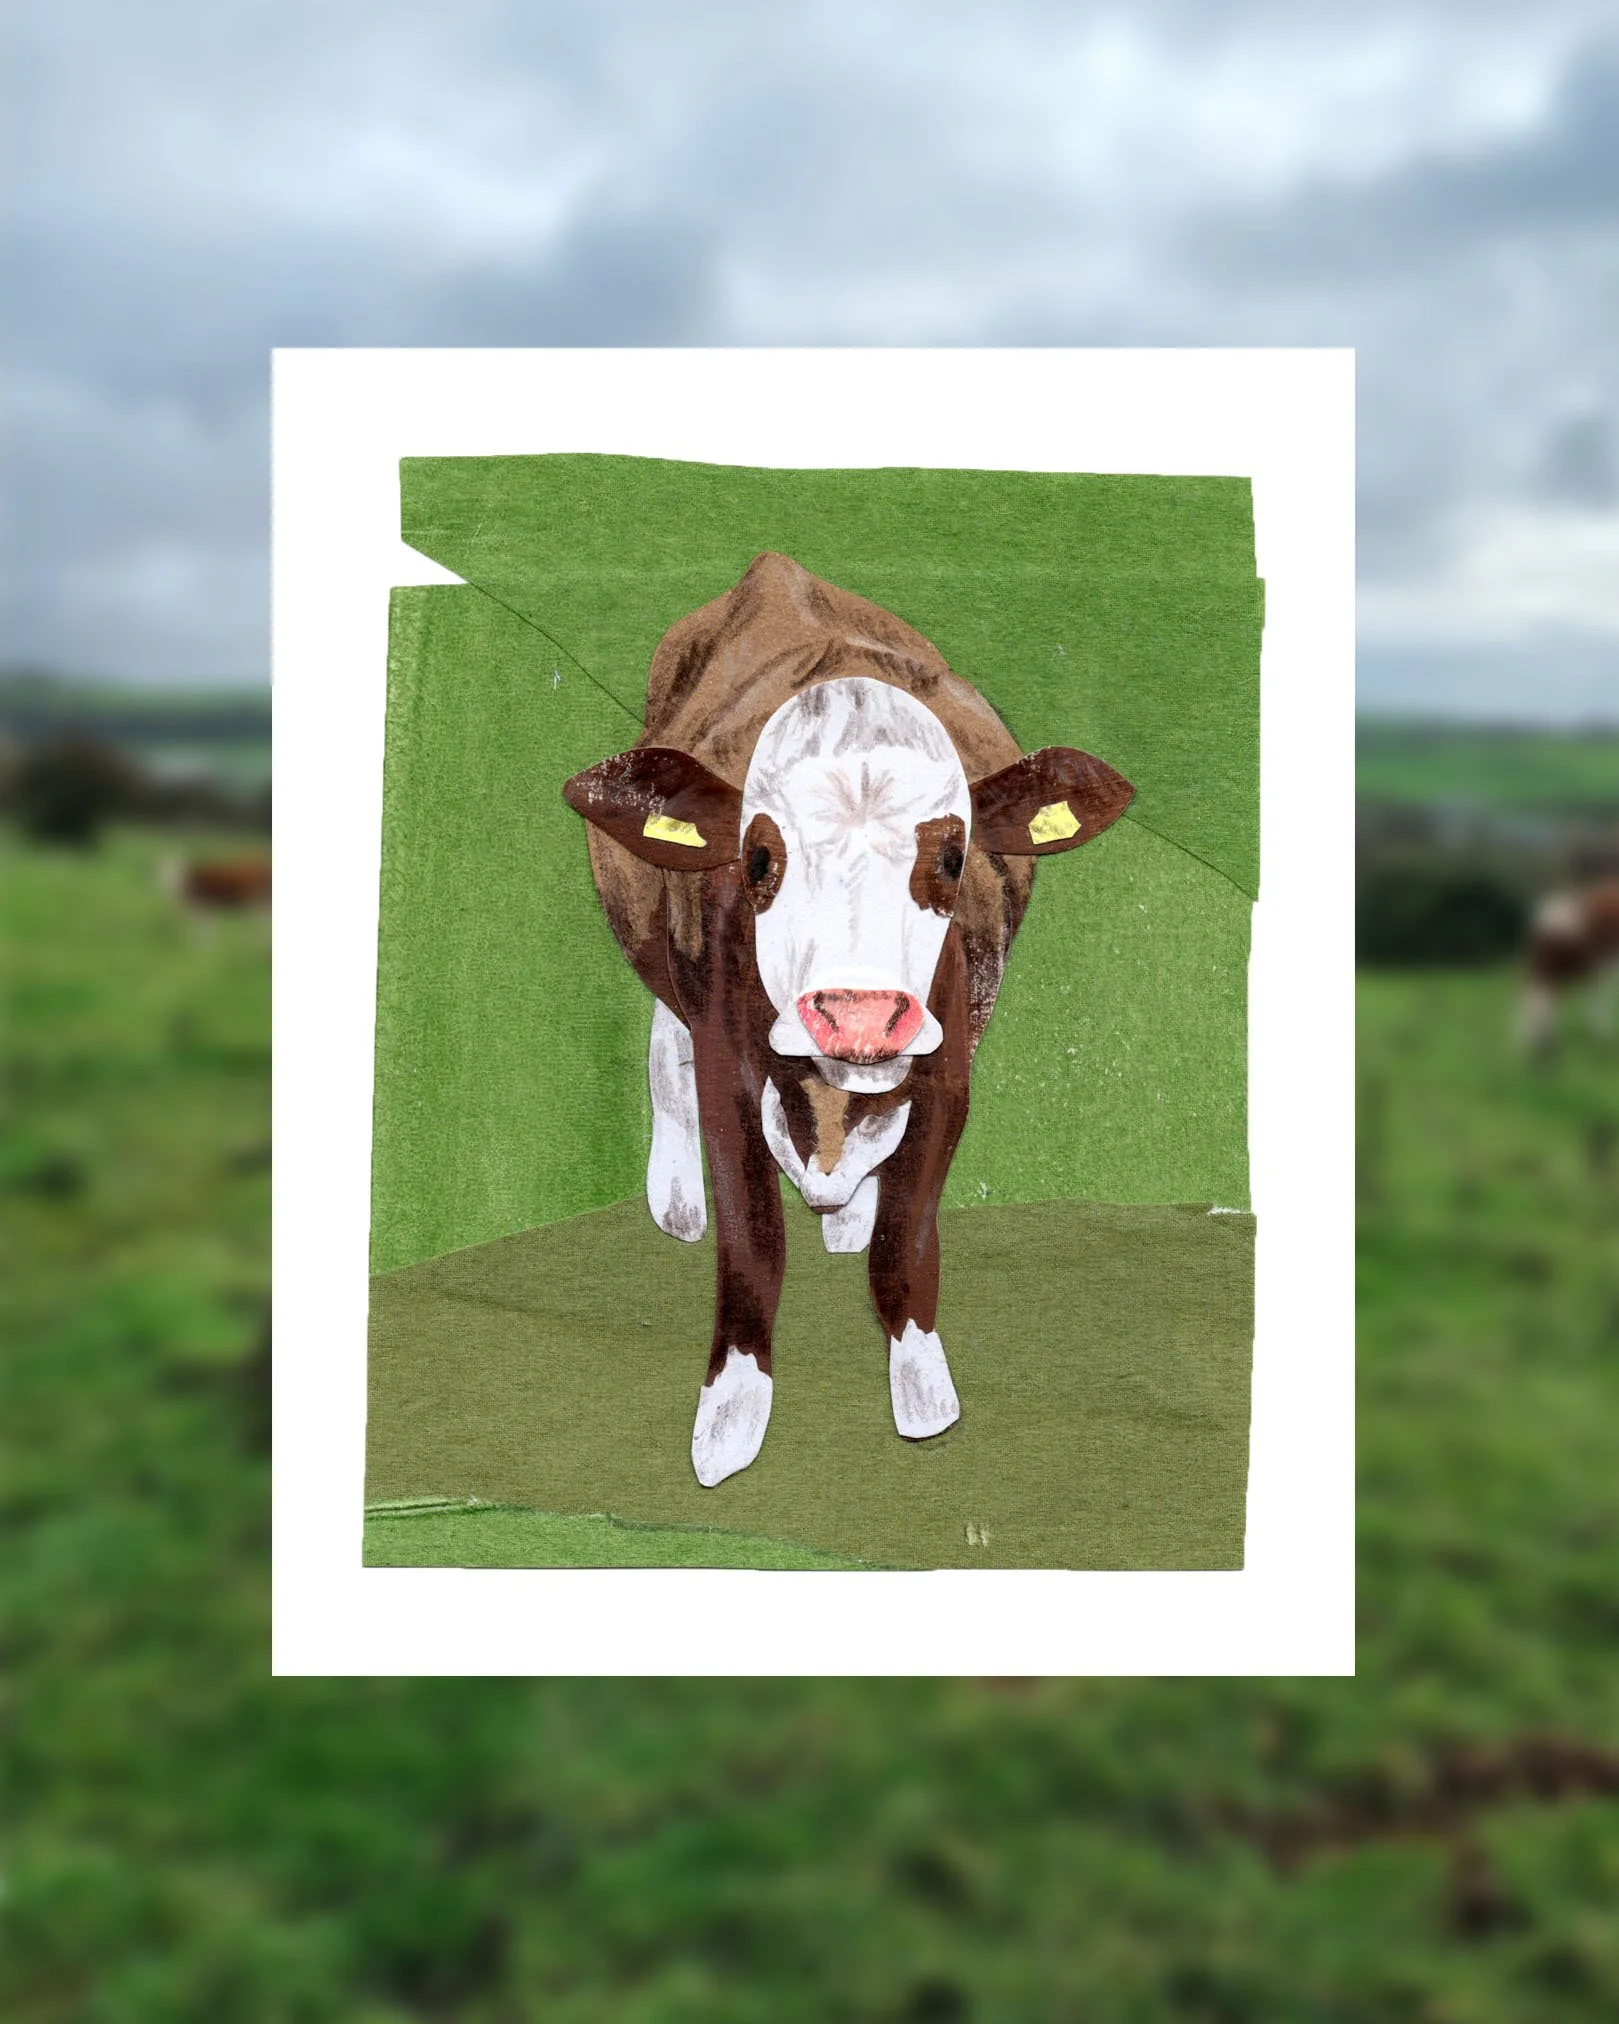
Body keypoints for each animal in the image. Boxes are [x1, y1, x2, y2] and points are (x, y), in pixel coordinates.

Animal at [563, 553, 1133, 1486]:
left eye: (952, 854)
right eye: (758, 856)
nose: (858, 1014)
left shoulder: (948, 1073)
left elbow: (905, 1243)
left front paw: (923, 1396)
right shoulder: (726, 1070)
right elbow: (752, 1239)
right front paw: (731, 1414)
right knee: (662, 1044)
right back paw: (678, 1199)